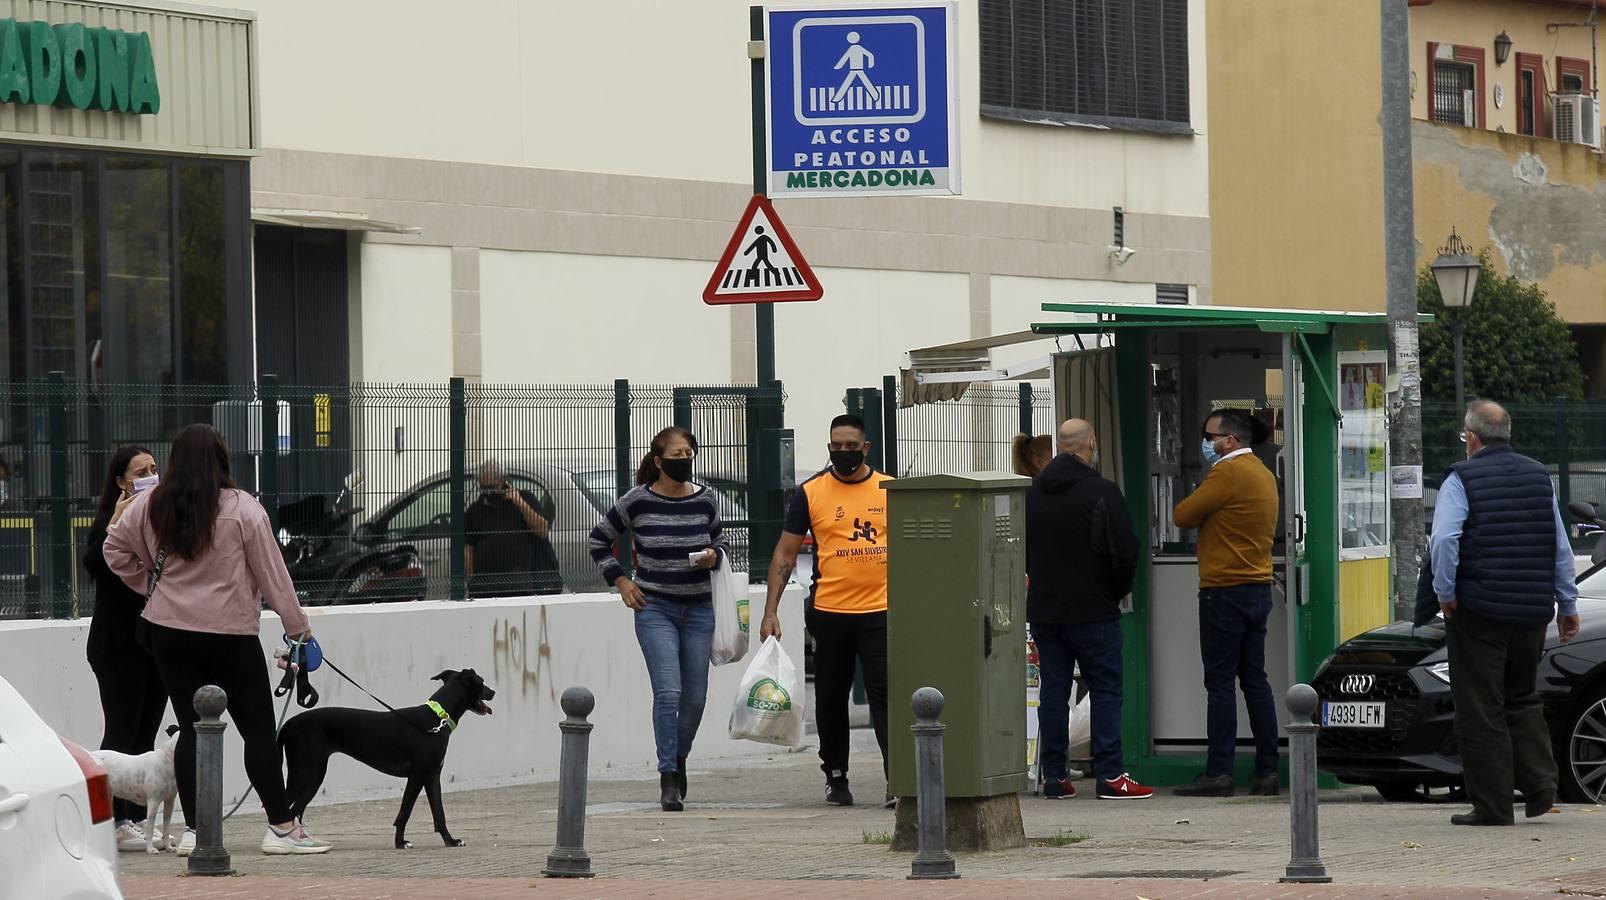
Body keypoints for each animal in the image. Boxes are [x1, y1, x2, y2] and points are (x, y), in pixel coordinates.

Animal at [91, 723, 179, 855]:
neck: (168, 759)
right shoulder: (153, 802)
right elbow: (149, 829)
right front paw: (150, 849)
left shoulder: (169, 801)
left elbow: (167, 829)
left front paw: (168, 847)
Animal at [279, 668, 494, 848]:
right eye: (482, 681)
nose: (493, 692)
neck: (436, 718)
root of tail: (289, 724)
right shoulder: (417, 776)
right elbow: (404, 812)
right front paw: (400, 842)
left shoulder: (432, 776)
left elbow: (439, 813)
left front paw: (450, 840)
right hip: (304, 773)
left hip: (313, 776)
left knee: (297, 810)